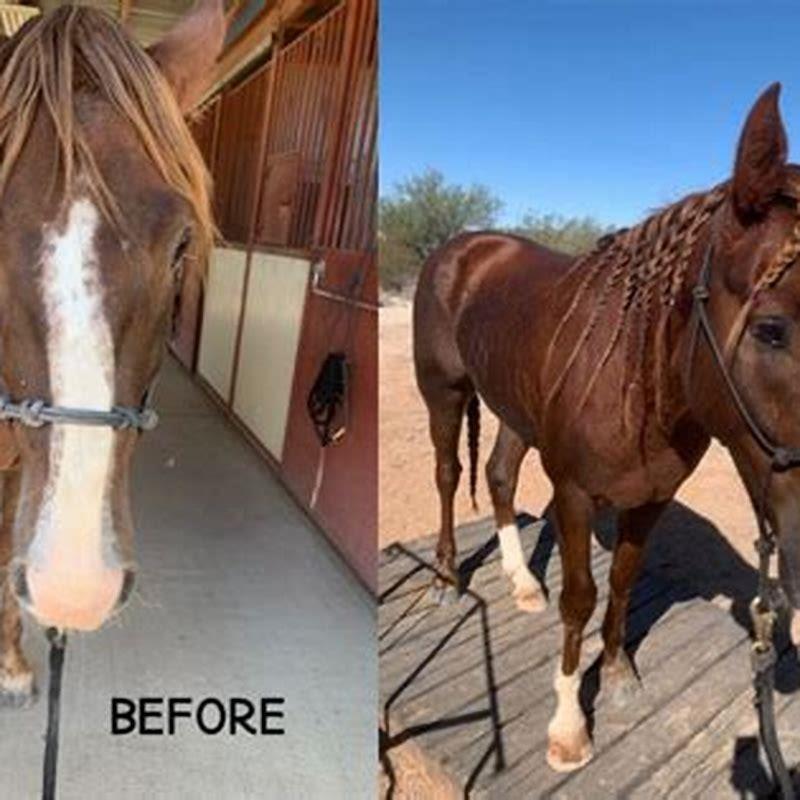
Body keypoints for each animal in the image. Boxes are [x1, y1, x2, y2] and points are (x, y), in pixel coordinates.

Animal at [413, 83, 800, 772]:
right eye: (771, 329)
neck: (638, 378)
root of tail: (462, 248)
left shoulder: (651, 498)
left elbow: (621, 582)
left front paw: (618, 673)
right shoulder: (572, 493)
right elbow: (581, 597)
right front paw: (569, 727)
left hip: (515, 407)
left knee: (499, 475)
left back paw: (521, 583)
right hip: (445, 392)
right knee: (449, 474)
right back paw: (447, 579)